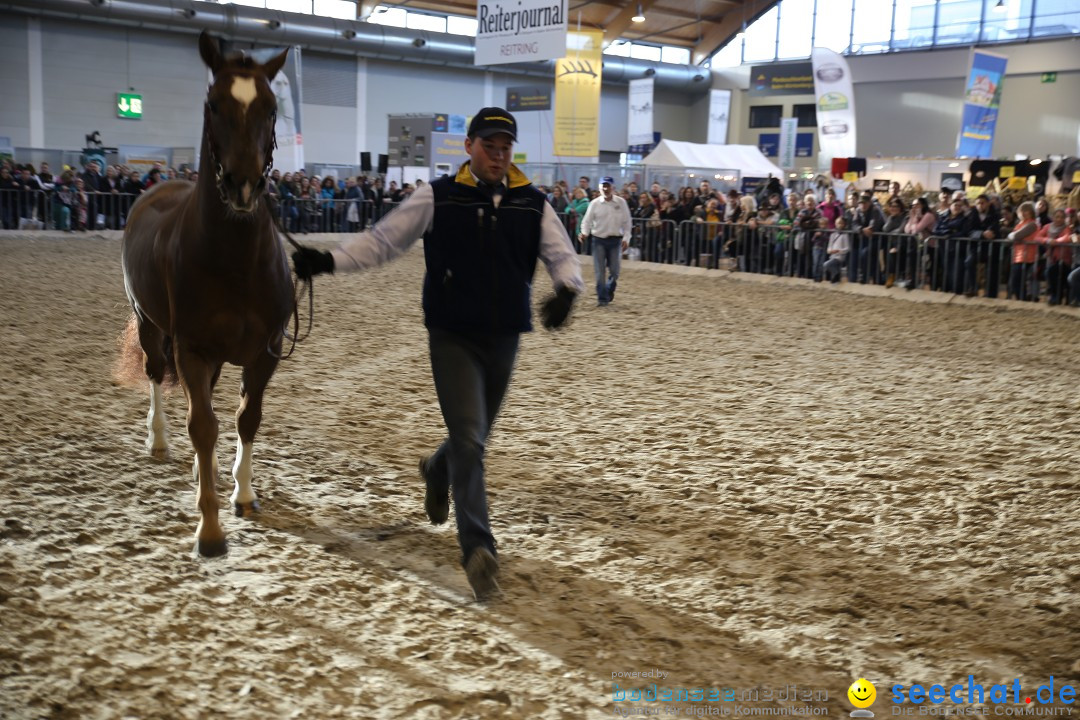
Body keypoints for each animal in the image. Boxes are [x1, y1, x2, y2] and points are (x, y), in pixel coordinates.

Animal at [122, 33, 293, 557]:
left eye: (272, 108)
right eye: (213, 104)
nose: (243, 185)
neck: (235, 263)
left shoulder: (265, 353)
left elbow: (244, 419)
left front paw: (243, 493)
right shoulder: (192, 349)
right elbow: (202, 425)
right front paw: (210, 529)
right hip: (149, 324)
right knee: (157, 375)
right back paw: (159, 442)